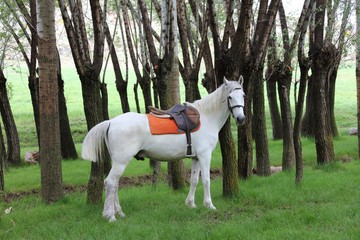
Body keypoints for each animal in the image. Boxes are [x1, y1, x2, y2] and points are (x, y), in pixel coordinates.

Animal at [81, 76, 245, 221]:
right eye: (230, 97)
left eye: (243, 95)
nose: (241, 119)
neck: (206, 118)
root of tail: (111, 122)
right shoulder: (205, 156)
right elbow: (206, 180)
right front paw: (209, 205)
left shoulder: (196, 158)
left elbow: (193, 180)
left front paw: (191, 204)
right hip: (121, 161)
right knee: (110, 183)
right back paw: (110, 216)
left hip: (118, 162)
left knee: (115, 184)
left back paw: (120, 213)